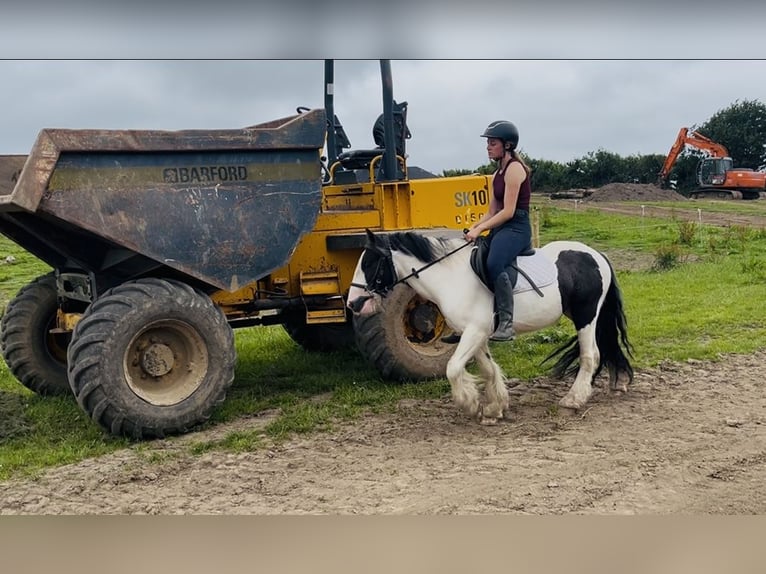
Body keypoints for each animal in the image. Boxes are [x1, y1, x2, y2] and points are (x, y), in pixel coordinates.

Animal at [347, 228, 634, 425]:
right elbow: (488, 368)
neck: (451, 278)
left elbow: (453, 369)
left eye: (369, 263)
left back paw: (573, 400)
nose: (353, 304)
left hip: (586, 316)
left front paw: (470, 403)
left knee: (590, 355)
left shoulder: (474, 332)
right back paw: (617, 383)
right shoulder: (477, 333)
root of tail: (596, 254)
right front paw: (495, 408)